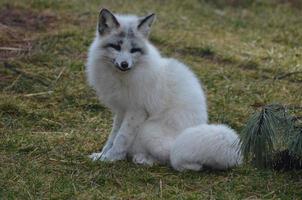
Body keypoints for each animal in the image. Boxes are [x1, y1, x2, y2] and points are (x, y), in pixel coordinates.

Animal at [86, 8, 242, 171]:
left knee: (176, 159)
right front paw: (101, 155)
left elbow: (121, 137)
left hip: (148, 131)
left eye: (134, 50)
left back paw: (146, 160)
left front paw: (110, 158)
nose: (124, 64)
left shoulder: (137, 110)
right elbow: (113, 135)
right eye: (116, 47)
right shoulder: (121, 109)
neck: (123, 77)